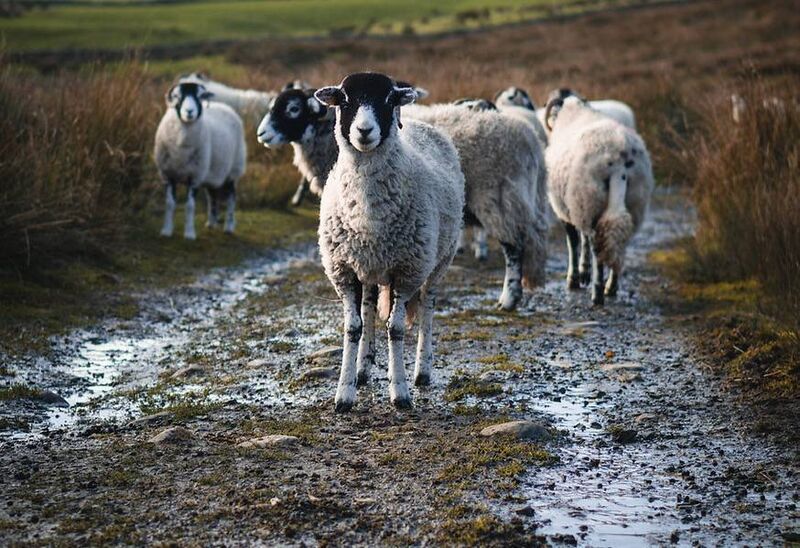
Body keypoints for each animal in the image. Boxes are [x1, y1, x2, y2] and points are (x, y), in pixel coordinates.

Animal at [154, 82, 246, 240]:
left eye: (200, 96)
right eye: (177, 96)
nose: (189, 111)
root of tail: (224, 106)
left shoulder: (195, 176)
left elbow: (190, 206)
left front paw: (189, 234)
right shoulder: (168, 175)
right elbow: (169, 203)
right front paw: (166, 230)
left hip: (233, 170)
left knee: (231, 198)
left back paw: (228, 227)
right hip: (212, 172)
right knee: (212, 196)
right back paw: (211, 223)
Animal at [312, 72, 464, 411]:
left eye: (388, 99)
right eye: (344, 100)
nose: (364, 130)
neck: (369, 214)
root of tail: (420, 122)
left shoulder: (407, 271)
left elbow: (395, 329)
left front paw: (401, 393)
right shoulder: (344, 271)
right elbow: (353, 328)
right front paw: (344, 394)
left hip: (438, 260)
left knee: (427, 308)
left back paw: (422, 371)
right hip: (369, 267)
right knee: (368, 311)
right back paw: (363, 369)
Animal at [544, 95, 654, 306]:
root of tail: (619, 159)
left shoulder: (566, 210)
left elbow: (573, 242)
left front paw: (574, 278)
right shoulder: (581, 209)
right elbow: (583, 240)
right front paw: (583, 272)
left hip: (589, 196)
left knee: (598, 244)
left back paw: (597, 292)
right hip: (631, 200)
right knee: (617, 239)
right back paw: (611, 286)